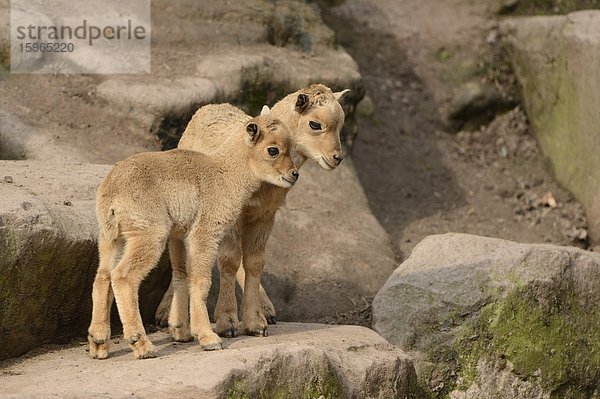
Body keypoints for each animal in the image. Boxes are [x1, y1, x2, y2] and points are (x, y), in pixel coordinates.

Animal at [86, 109, 298, 360]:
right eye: (272, 149)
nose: (293, 174)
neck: (224, 177)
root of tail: (111, 194)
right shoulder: (204, 233)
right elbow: (201, 281)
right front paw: (208, 338)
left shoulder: (179, 236)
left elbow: (182, 275)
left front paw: (182, 332)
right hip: (148, 235)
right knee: (123, 277)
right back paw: (142, 345)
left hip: (112, 239)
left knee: (103, 277)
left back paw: (99, 344)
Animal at [157, 83, 350, 340]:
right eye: (315, 124)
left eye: (341, 125)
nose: (336, 158)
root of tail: (210, 107)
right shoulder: (230, 216)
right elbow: (229, 261)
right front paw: (227, 322)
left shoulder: (264, 216)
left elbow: (254, 263)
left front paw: (256, 323)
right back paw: (166, 314)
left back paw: (266, 308)